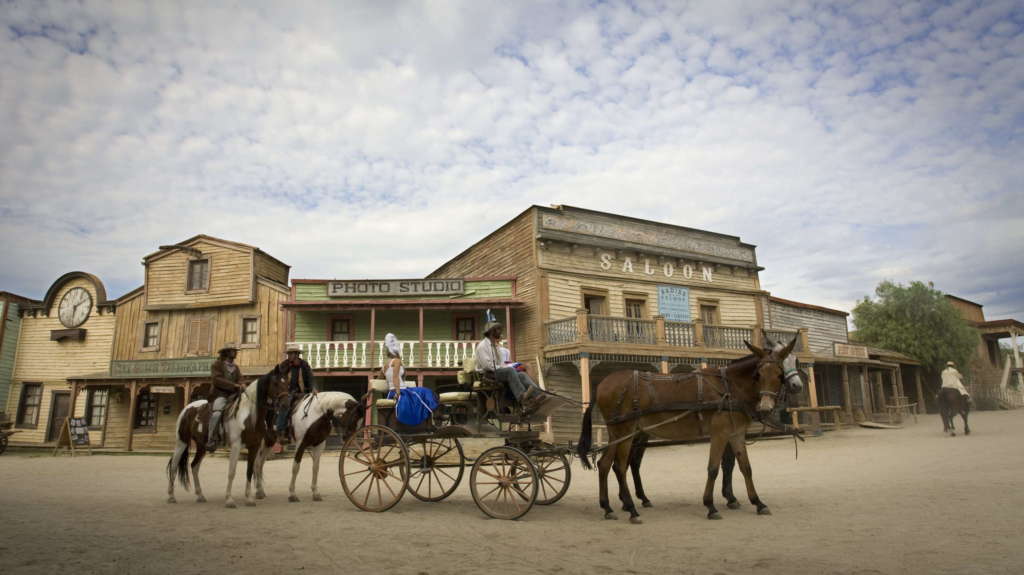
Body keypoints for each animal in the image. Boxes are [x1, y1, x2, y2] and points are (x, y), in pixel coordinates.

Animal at [165, 366, 290, 505]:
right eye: (276, 383)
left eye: (287, 383)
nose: (286, 403)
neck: (249, 415)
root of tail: (188, 408)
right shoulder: (236, 446)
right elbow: (232, 472)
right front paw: (229, 499)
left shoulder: (255, 446)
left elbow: (250, 470)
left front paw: (249, 498)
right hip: (182, 442)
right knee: (174, 466)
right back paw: (171, 496)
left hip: (202, 446)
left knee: (194, 466)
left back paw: (200, 496)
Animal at [581, 337, 794, 521]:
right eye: (758, 375)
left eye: (779, 375)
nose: (765, 406)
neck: (729, 387)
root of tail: (602, 384)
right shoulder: (720, 433)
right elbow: (713, 469)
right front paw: (710, 505)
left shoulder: (736, 434)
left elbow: (746, 468)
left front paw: (758, 502)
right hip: (626, 432)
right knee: (620, 466)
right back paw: (631, 509)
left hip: (617, 433)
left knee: (605, 464)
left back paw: (608, 507)